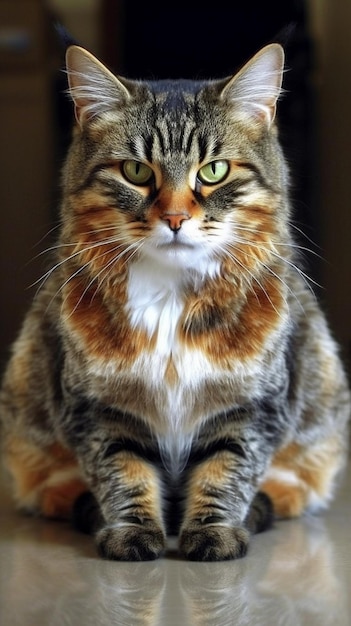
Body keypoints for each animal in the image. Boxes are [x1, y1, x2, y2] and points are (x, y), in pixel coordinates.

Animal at [0, 44, 351, 560]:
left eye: (214, 171)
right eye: (136, 171)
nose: (175, 218)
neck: (170, 294)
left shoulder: (252, 406)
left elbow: (226, 470)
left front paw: (214, 533)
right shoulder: (99, 407)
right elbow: (123, 471)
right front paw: (131, 532)